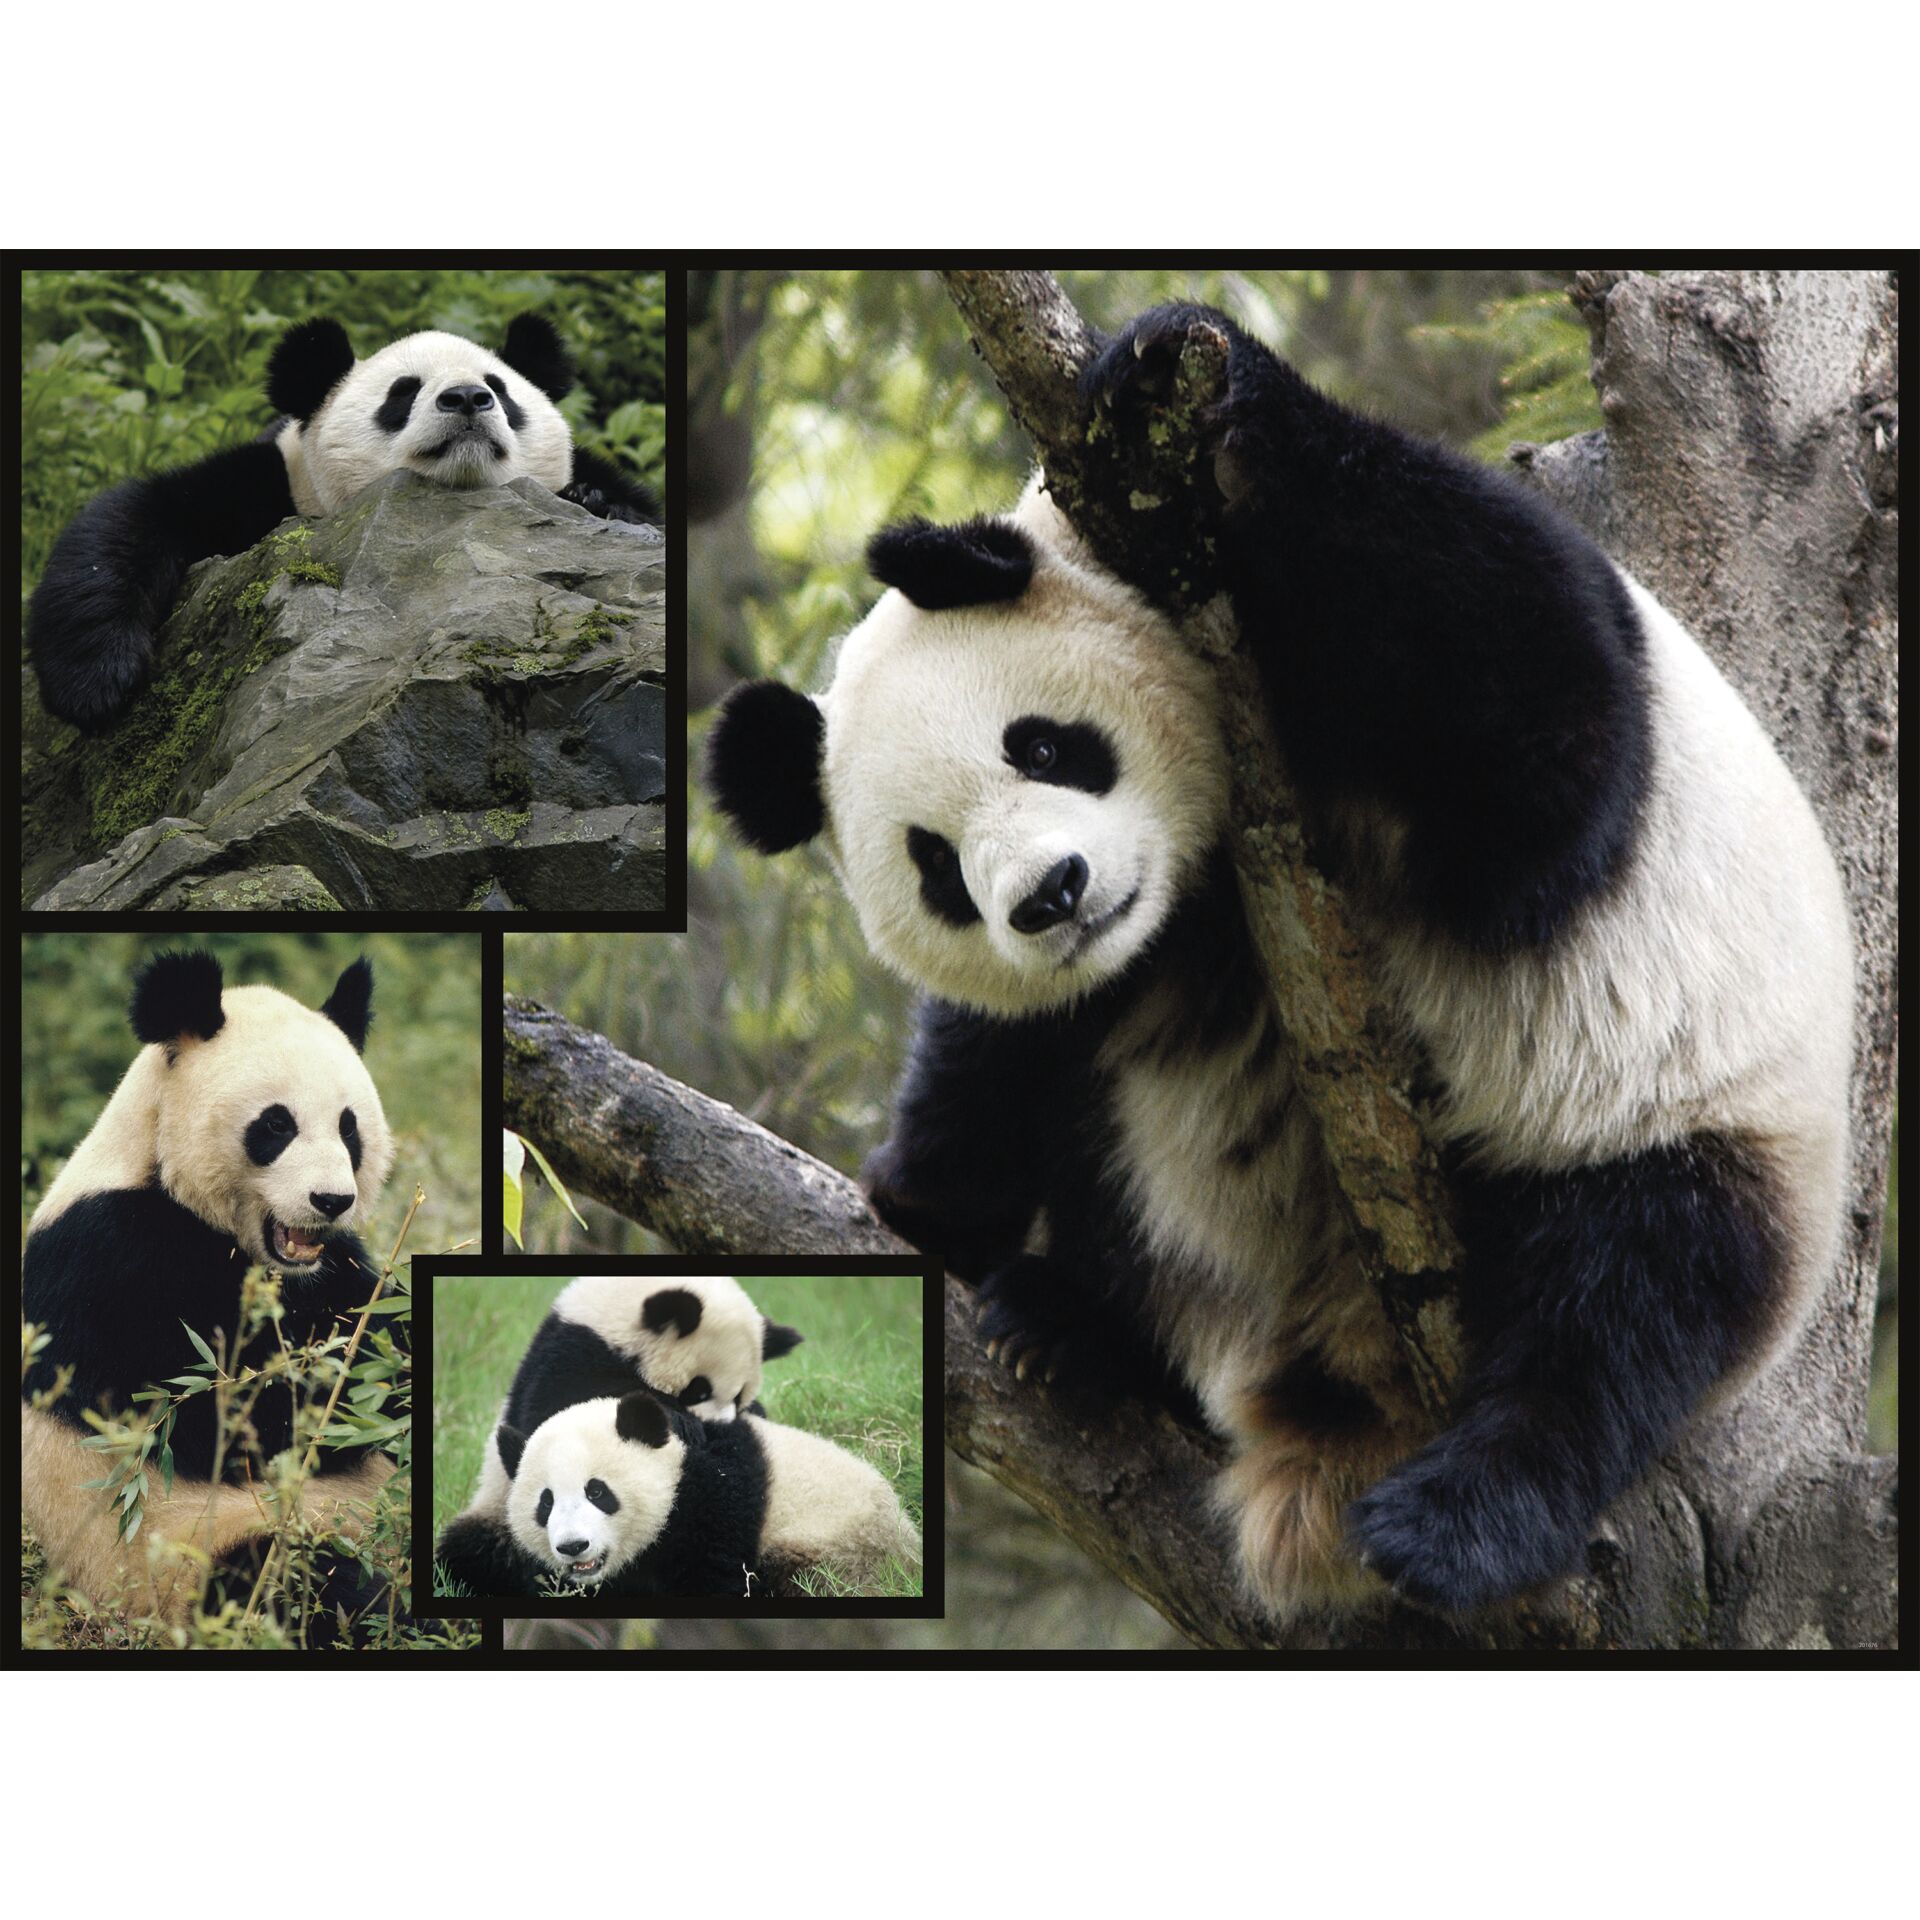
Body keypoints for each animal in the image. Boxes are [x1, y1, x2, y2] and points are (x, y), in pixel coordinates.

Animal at [21, 948, 402, 1635]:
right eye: (276, 1124)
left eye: (349, 1127)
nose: (331, 1200)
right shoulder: (107, 1258)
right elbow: (206, 1417)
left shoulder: (335, 1269)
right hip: (192, 1556)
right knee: (307, 1580)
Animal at [27, 312, 663, 731]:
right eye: (402, 393)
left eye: (500, 390)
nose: (465, 397)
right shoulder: (272, 483)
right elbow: (133, 518)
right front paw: (97, 683)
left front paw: (596, 500)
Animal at [705, 301, 1856, 1621]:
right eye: (937, 867)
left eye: (1043, 745)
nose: (1051, 897)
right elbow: (1006, 1045)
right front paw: (925, 1197)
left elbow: (1543, 743)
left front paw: (1174, 370)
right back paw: (1072, 1331)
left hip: (1694, 1113)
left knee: (1631, 1301)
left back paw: (1459, 1520)